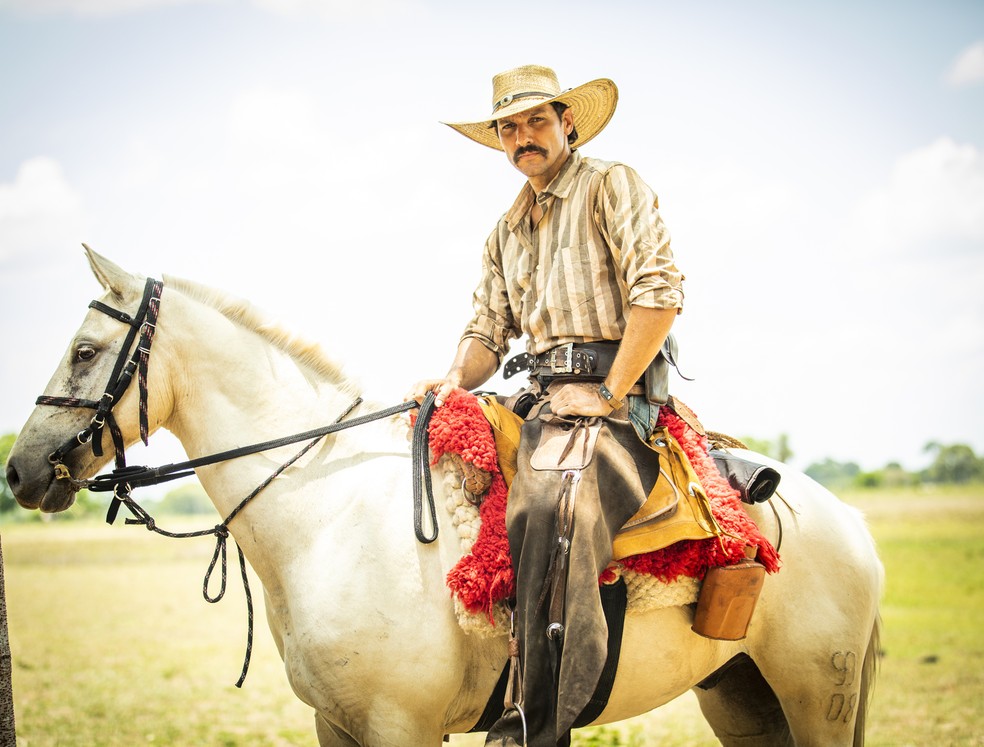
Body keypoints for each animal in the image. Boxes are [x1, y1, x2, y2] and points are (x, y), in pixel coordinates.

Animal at [5, 248, 884, 744]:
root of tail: (848, 520)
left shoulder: (402, 726)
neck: (328, 516)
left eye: (84, 350)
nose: (19, 470)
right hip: (742, 695)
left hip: (819, 696)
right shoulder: (338, 725)